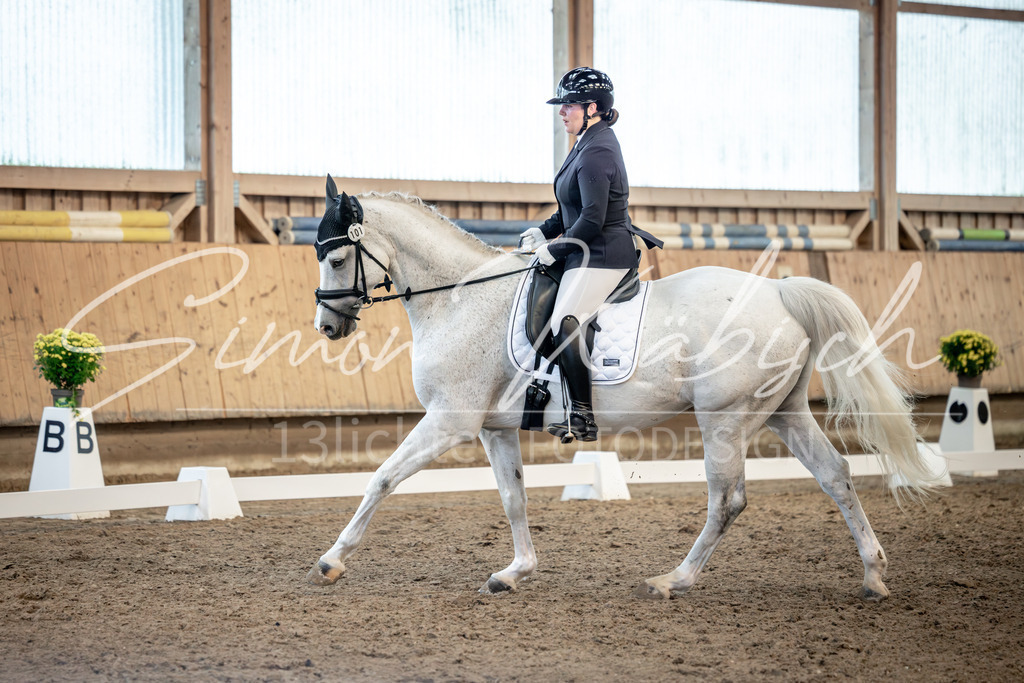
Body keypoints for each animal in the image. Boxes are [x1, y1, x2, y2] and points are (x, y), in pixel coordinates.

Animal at [307, 177, 937, 601]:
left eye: (336, 257)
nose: (327, 327)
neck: (461, 297)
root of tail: (779, 291)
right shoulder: (493, 430)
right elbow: (514, 498)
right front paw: (515, 572)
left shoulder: (449, 421)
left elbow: (383, 477)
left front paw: (332, 561)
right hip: (784, 411)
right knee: (836, 474)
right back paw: (873, 575)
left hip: (724, 418)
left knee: (728, 499)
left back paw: (672, 580)